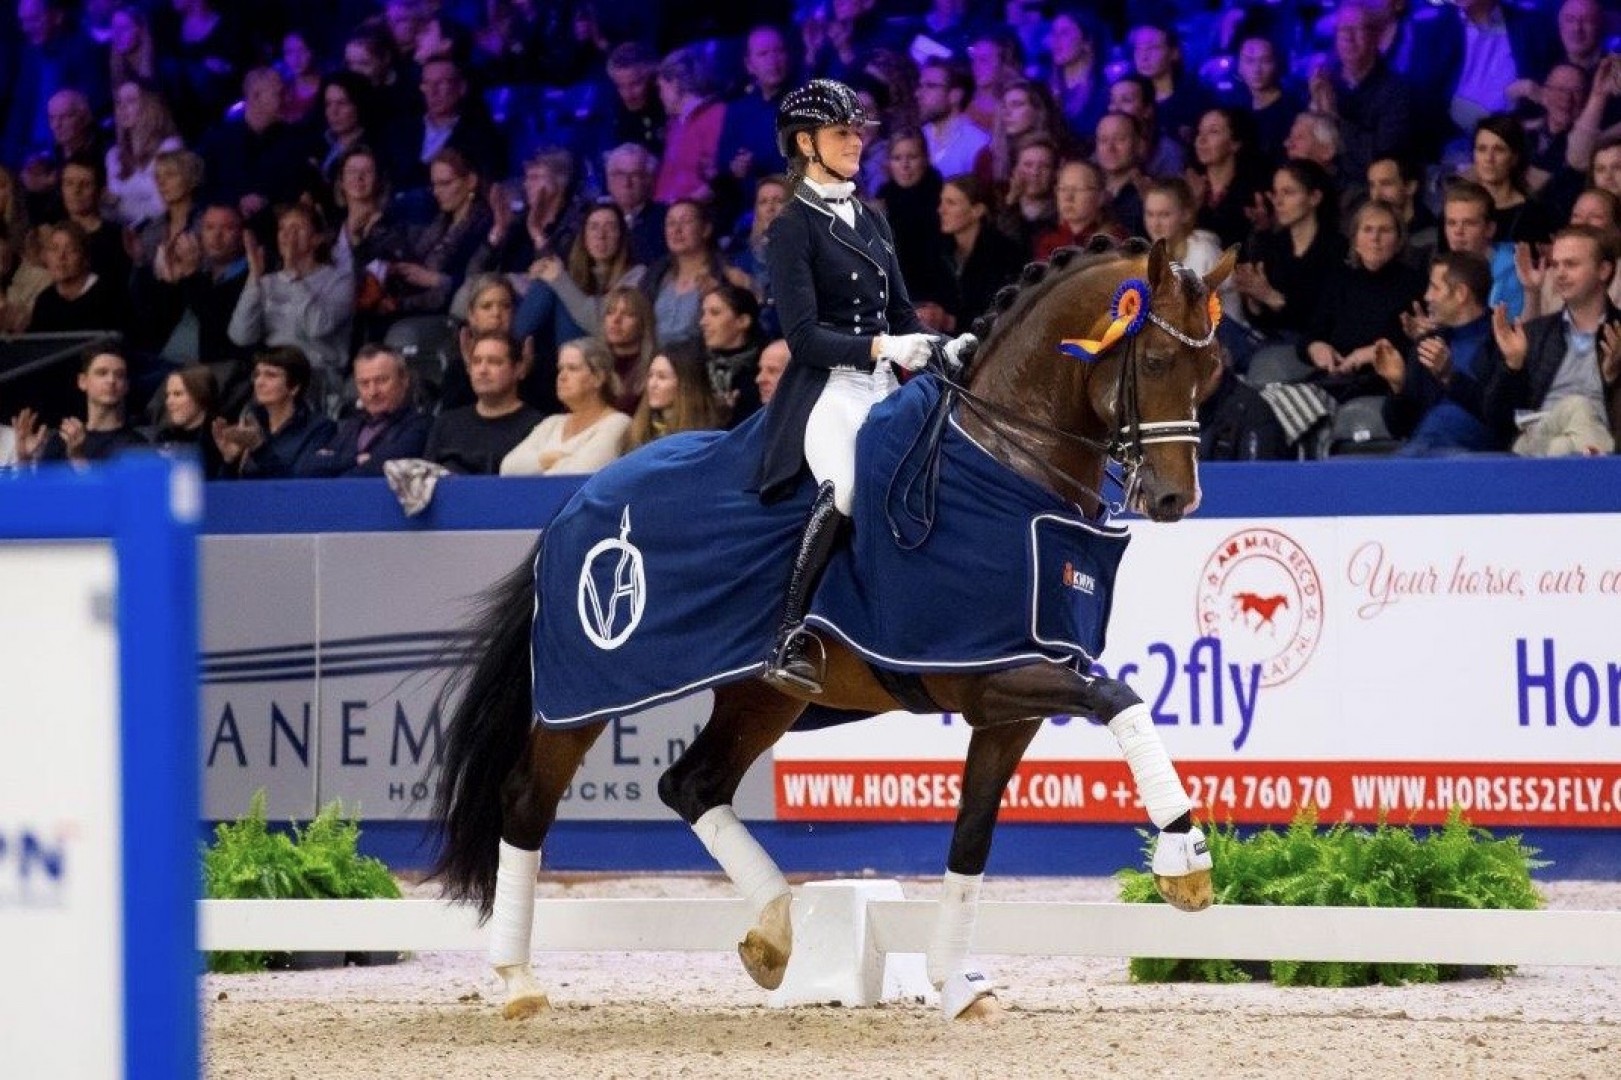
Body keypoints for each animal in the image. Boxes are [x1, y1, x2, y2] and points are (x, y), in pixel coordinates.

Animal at [430, 237, 1237, 1021]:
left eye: (1212, 370)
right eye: (1156, 362)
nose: (1176, 498)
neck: (1006, 463)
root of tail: (574, 503)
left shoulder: (1009, 706)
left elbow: (972, 838)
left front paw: (958, 986)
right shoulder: (993, 677)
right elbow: (1121, 699)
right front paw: (1185, 861)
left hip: (762, 695)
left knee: (691, 783)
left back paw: (773, 934)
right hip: (586, 692)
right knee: (527, 800)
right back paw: (518, 982)